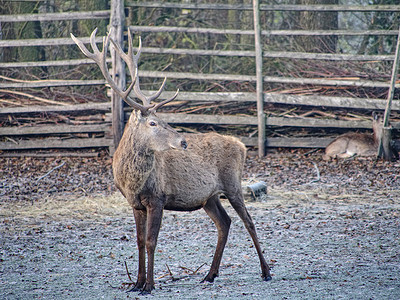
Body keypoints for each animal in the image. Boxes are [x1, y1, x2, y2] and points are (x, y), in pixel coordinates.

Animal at [72, 29, 272, 294]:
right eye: (153, 123)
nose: (184, 141)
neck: (131, 181)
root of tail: (241, 145)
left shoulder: (157, 198)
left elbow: (151, 241)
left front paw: (149, 285)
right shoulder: (135, 204)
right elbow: (138, 241)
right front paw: (136, 283)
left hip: (233, 184)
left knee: (249, 221)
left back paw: (266, 272)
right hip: (209, 196)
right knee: (225, 222)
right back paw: (210, 275)